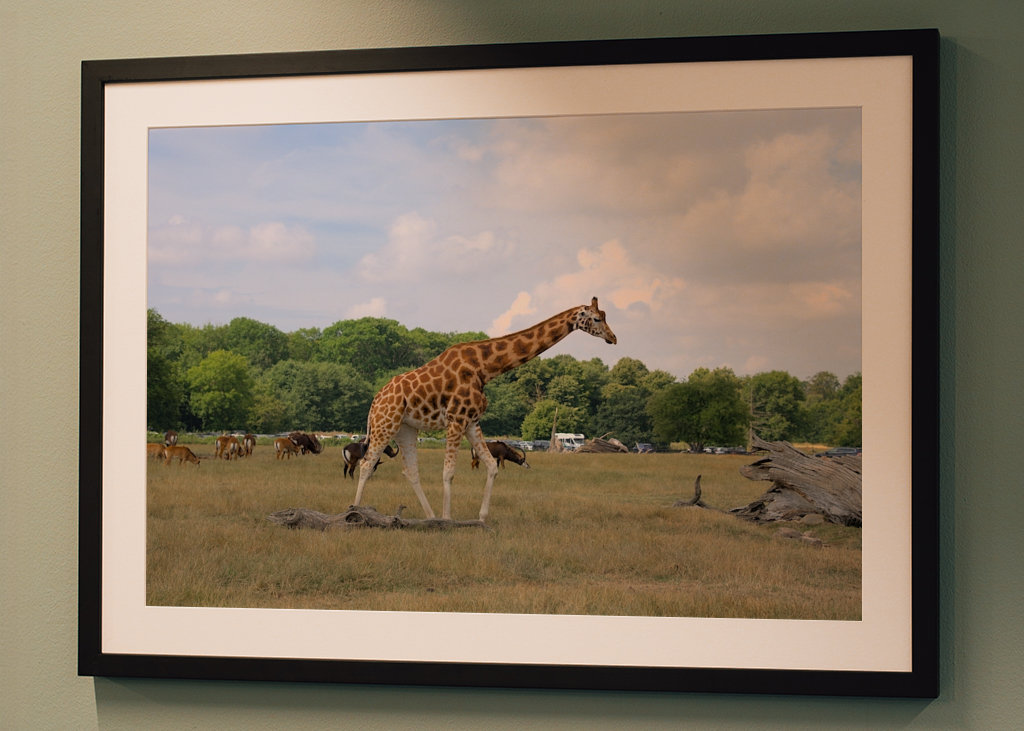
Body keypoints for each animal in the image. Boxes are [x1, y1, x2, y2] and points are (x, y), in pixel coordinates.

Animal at [353, 297, 617, 522]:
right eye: (596, 318)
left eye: (605, 316)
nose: (613, 338)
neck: (484, 367)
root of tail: (375, 401)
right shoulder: (456, 419)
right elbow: (448, 472)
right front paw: (448, 519)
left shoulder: (472, 421)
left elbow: (491, 466)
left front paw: (481, 518)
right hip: (385, 424)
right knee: (366, 464)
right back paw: (355, 512)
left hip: (405, 429)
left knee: (410, 471)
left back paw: (430, 516)